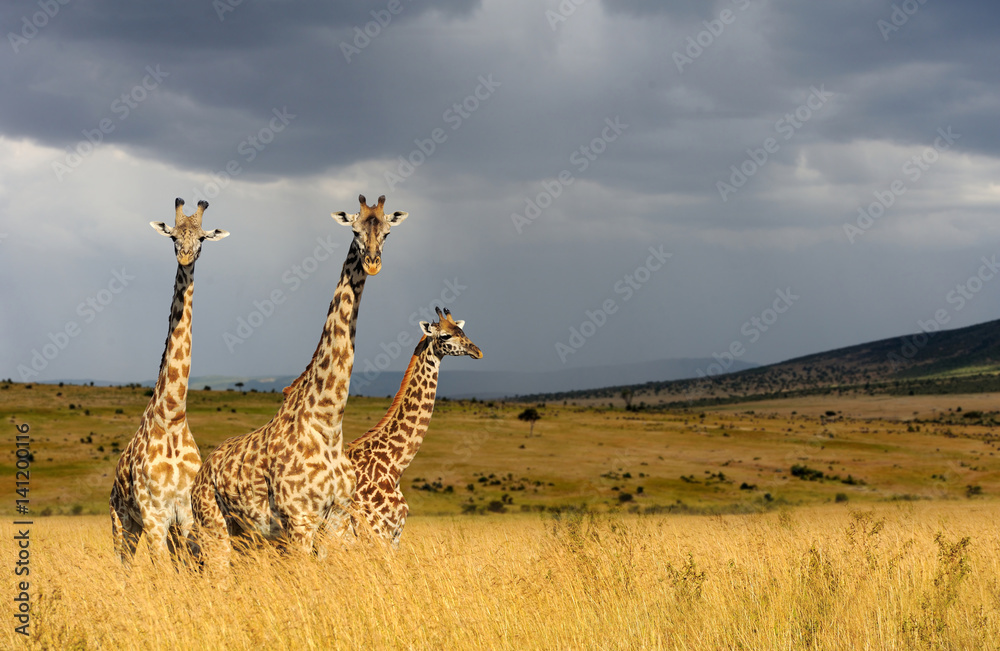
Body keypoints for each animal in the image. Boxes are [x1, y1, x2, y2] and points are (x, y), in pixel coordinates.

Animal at [109, 197, 229, 564]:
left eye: (202, 238)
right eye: (173, 236)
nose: (186, 256)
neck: (173, 416)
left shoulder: (185, 515)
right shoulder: (154, 516)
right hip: (122, 522)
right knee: (123, 565)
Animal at [191, 194, 410, 564]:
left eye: (387, 232)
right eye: (354, 230)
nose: (372, 263)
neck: (328, 422)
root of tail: (200, 474)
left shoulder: (336, 519)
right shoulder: (299, 520)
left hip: (245, 536)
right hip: (213, 527)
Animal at [330, 308, 482, 548]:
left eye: (462, 331)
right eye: (445, 336)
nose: (477, 351)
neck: (394, 466)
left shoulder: (394, 536)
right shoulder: (374, 534)